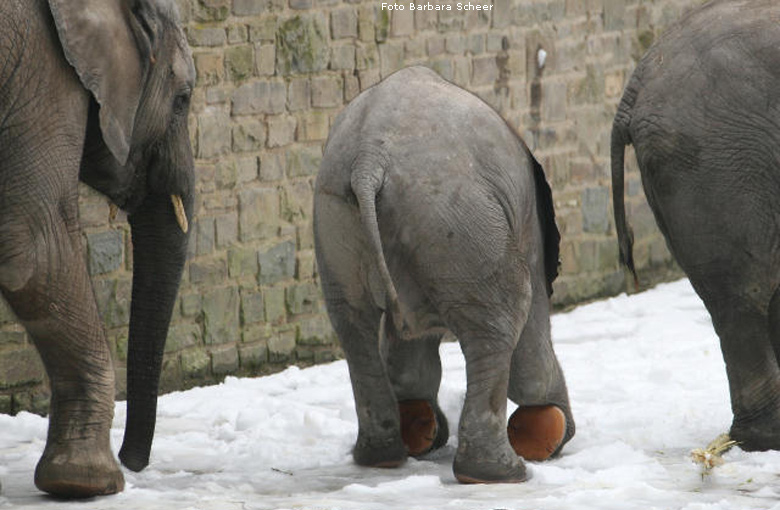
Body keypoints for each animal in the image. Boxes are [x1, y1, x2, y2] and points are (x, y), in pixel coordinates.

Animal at [314, 65, 576, 484]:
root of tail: (368, 160)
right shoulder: (528, 225)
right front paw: (553, 436)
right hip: (455, 213)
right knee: (508, 309)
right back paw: (498, 474)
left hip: (338, 219)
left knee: (353, 327)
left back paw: (382, 457)